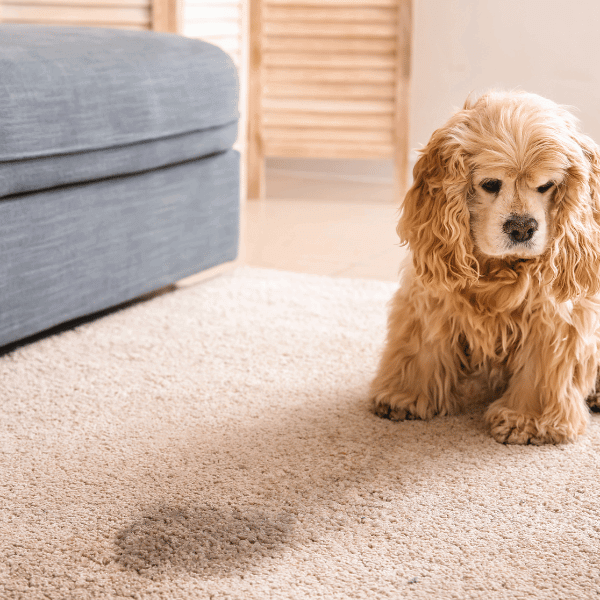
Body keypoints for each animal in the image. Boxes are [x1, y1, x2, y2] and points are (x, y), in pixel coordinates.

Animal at [370, 90, 600, 446]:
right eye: (491, 184)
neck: (498, 269)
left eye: (546, 185)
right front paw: (404, 396)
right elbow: (421, 345)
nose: (521, 228)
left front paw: (528, 420)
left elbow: (542, 369)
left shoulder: (554, 317)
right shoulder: (431, 296)